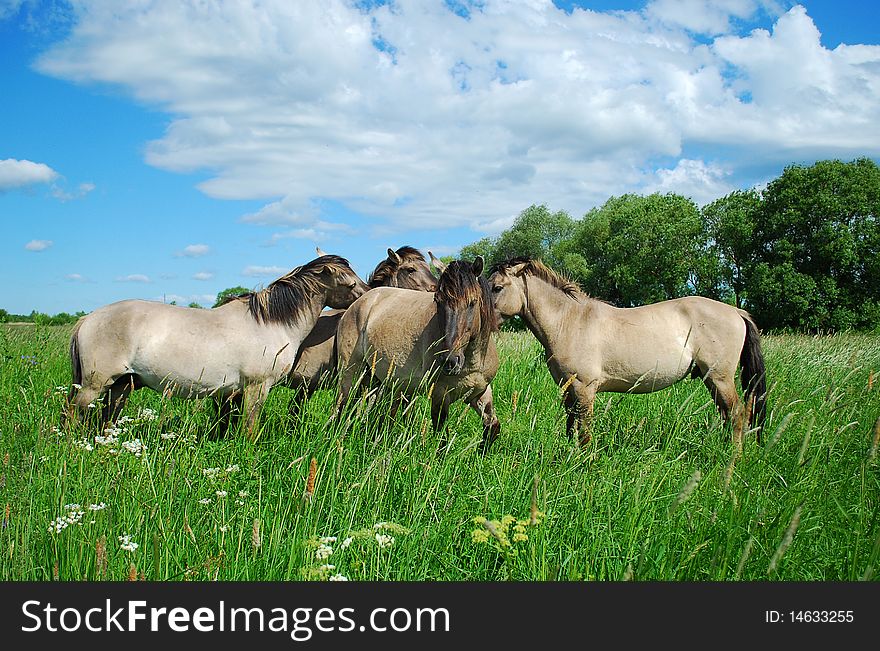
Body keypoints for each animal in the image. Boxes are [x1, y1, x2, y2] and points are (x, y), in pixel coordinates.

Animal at [66, 252, 368, 440]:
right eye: (350, 283)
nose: (369, 295)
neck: (271, 323)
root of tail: (87, 319)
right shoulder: (257, 388)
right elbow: (249, 429)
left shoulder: (232, 392)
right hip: (95, 385)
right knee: (73, 414)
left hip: (121, 386)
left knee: (107, 418)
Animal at [336, 258, 502, 450]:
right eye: (438, 301)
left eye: (473, 302)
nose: (450, 361)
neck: (472, 361)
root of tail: (359, 303)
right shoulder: (439, 395)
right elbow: (441, 439)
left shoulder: (480, 392)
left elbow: (492, 428)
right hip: (351, 374)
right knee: (342, 407)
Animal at [484, 258, 768, 448]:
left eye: (497, 287)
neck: (569, 321)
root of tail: (736, 312)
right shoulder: (570, 389)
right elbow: (571, 426)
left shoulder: (585, 389)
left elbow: (584, 431)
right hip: (711, 380)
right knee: (727, 415)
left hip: (720, 378)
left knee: (737, 414)